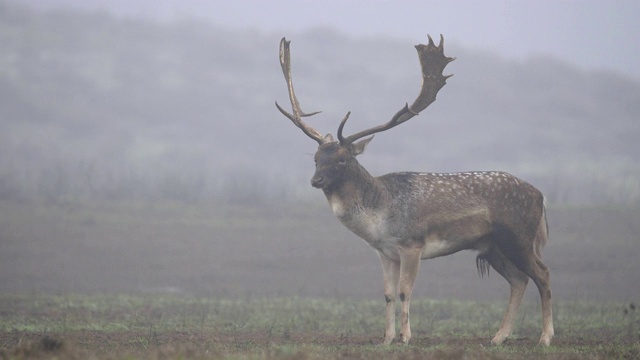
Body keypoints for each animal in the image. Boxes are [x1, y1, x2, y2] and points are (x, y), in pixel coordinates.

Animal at [276, 35, 556, 346]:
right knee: (519, 280)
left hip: (518, 236)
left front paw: (405, 337)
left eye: (342, 159)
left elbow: (404, 291)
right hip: (493, 246)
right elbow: (387, 294)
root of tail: (541, 197)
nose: (316, 180)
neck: (378, 217)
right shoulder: (385, 252)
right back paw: (498, 337)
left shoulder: (412, 244)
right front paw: (386, 339)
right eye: (315, 158)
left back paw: (545, 337)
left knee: (543, 274)